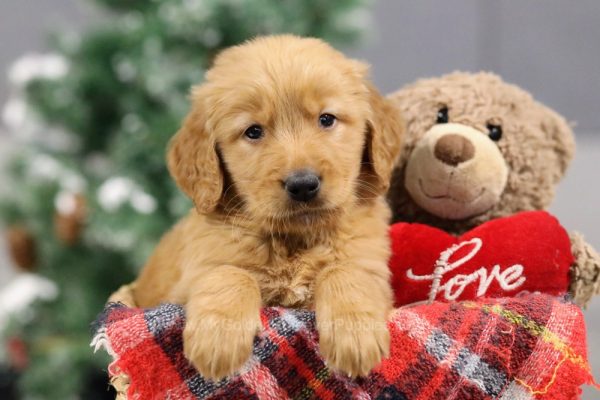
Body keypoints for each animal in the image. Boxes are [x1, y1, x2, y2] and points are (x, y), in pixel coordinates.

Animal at [131, 33, 404, 378]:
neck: (295, 240)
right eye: (253, 131)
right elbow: (231, 273)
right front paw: (218, 338)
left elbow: (344, 271)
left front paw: (355, 335)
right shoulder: (192, 277)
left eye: (326, 119)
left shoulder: (371, 266)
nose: (303, 185)